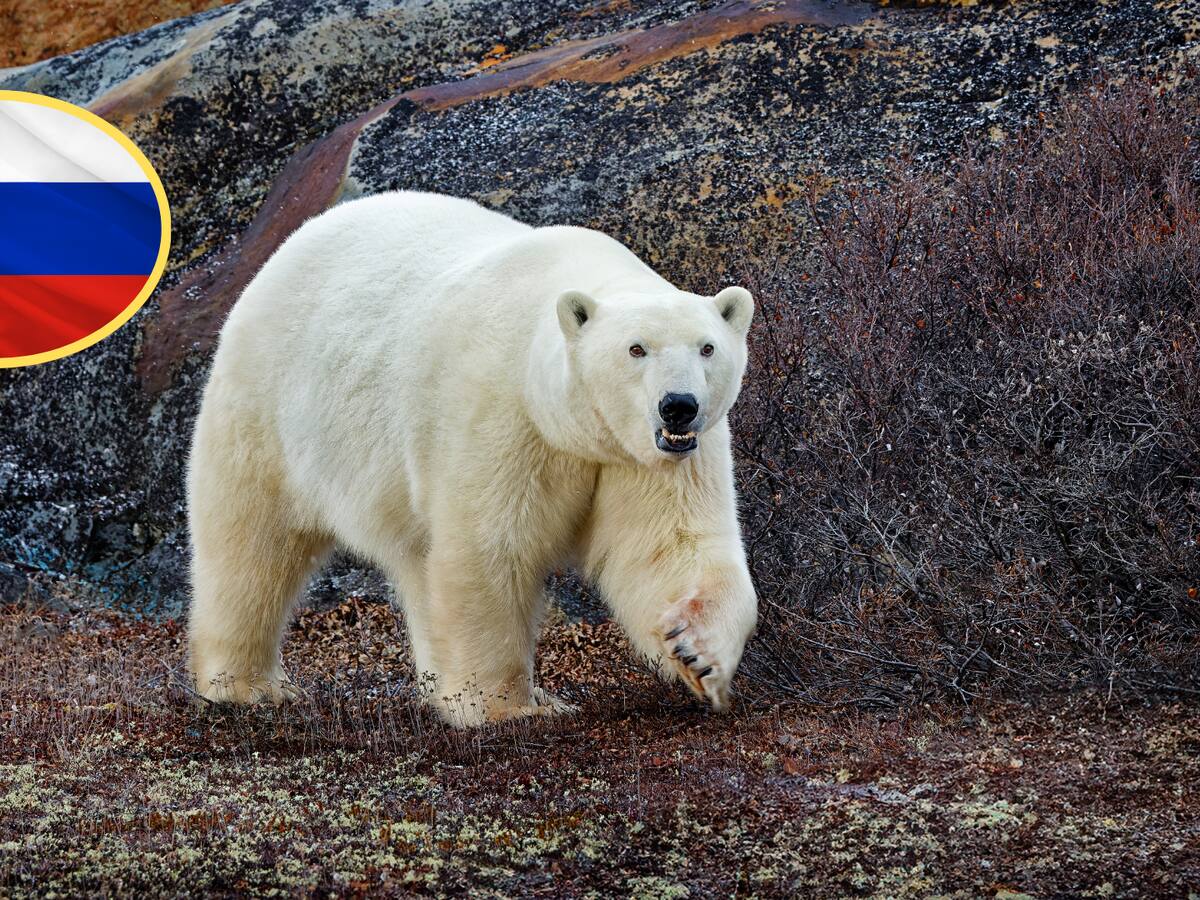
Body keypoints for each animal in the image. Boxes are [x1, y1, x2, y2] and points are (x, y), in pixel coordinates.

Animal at [186, 191, 758, 727]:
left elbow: (672, 543)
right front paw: (511, 708)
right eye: (636, 349)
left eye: (707, 348)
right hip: (270, 405)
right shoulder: (503, 412)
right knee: (250, 542)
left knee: (414, 559)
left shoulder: (647, 456)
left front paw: (698, 653)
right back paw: (247, 686)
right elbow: (490, 549)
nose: (679, 405)